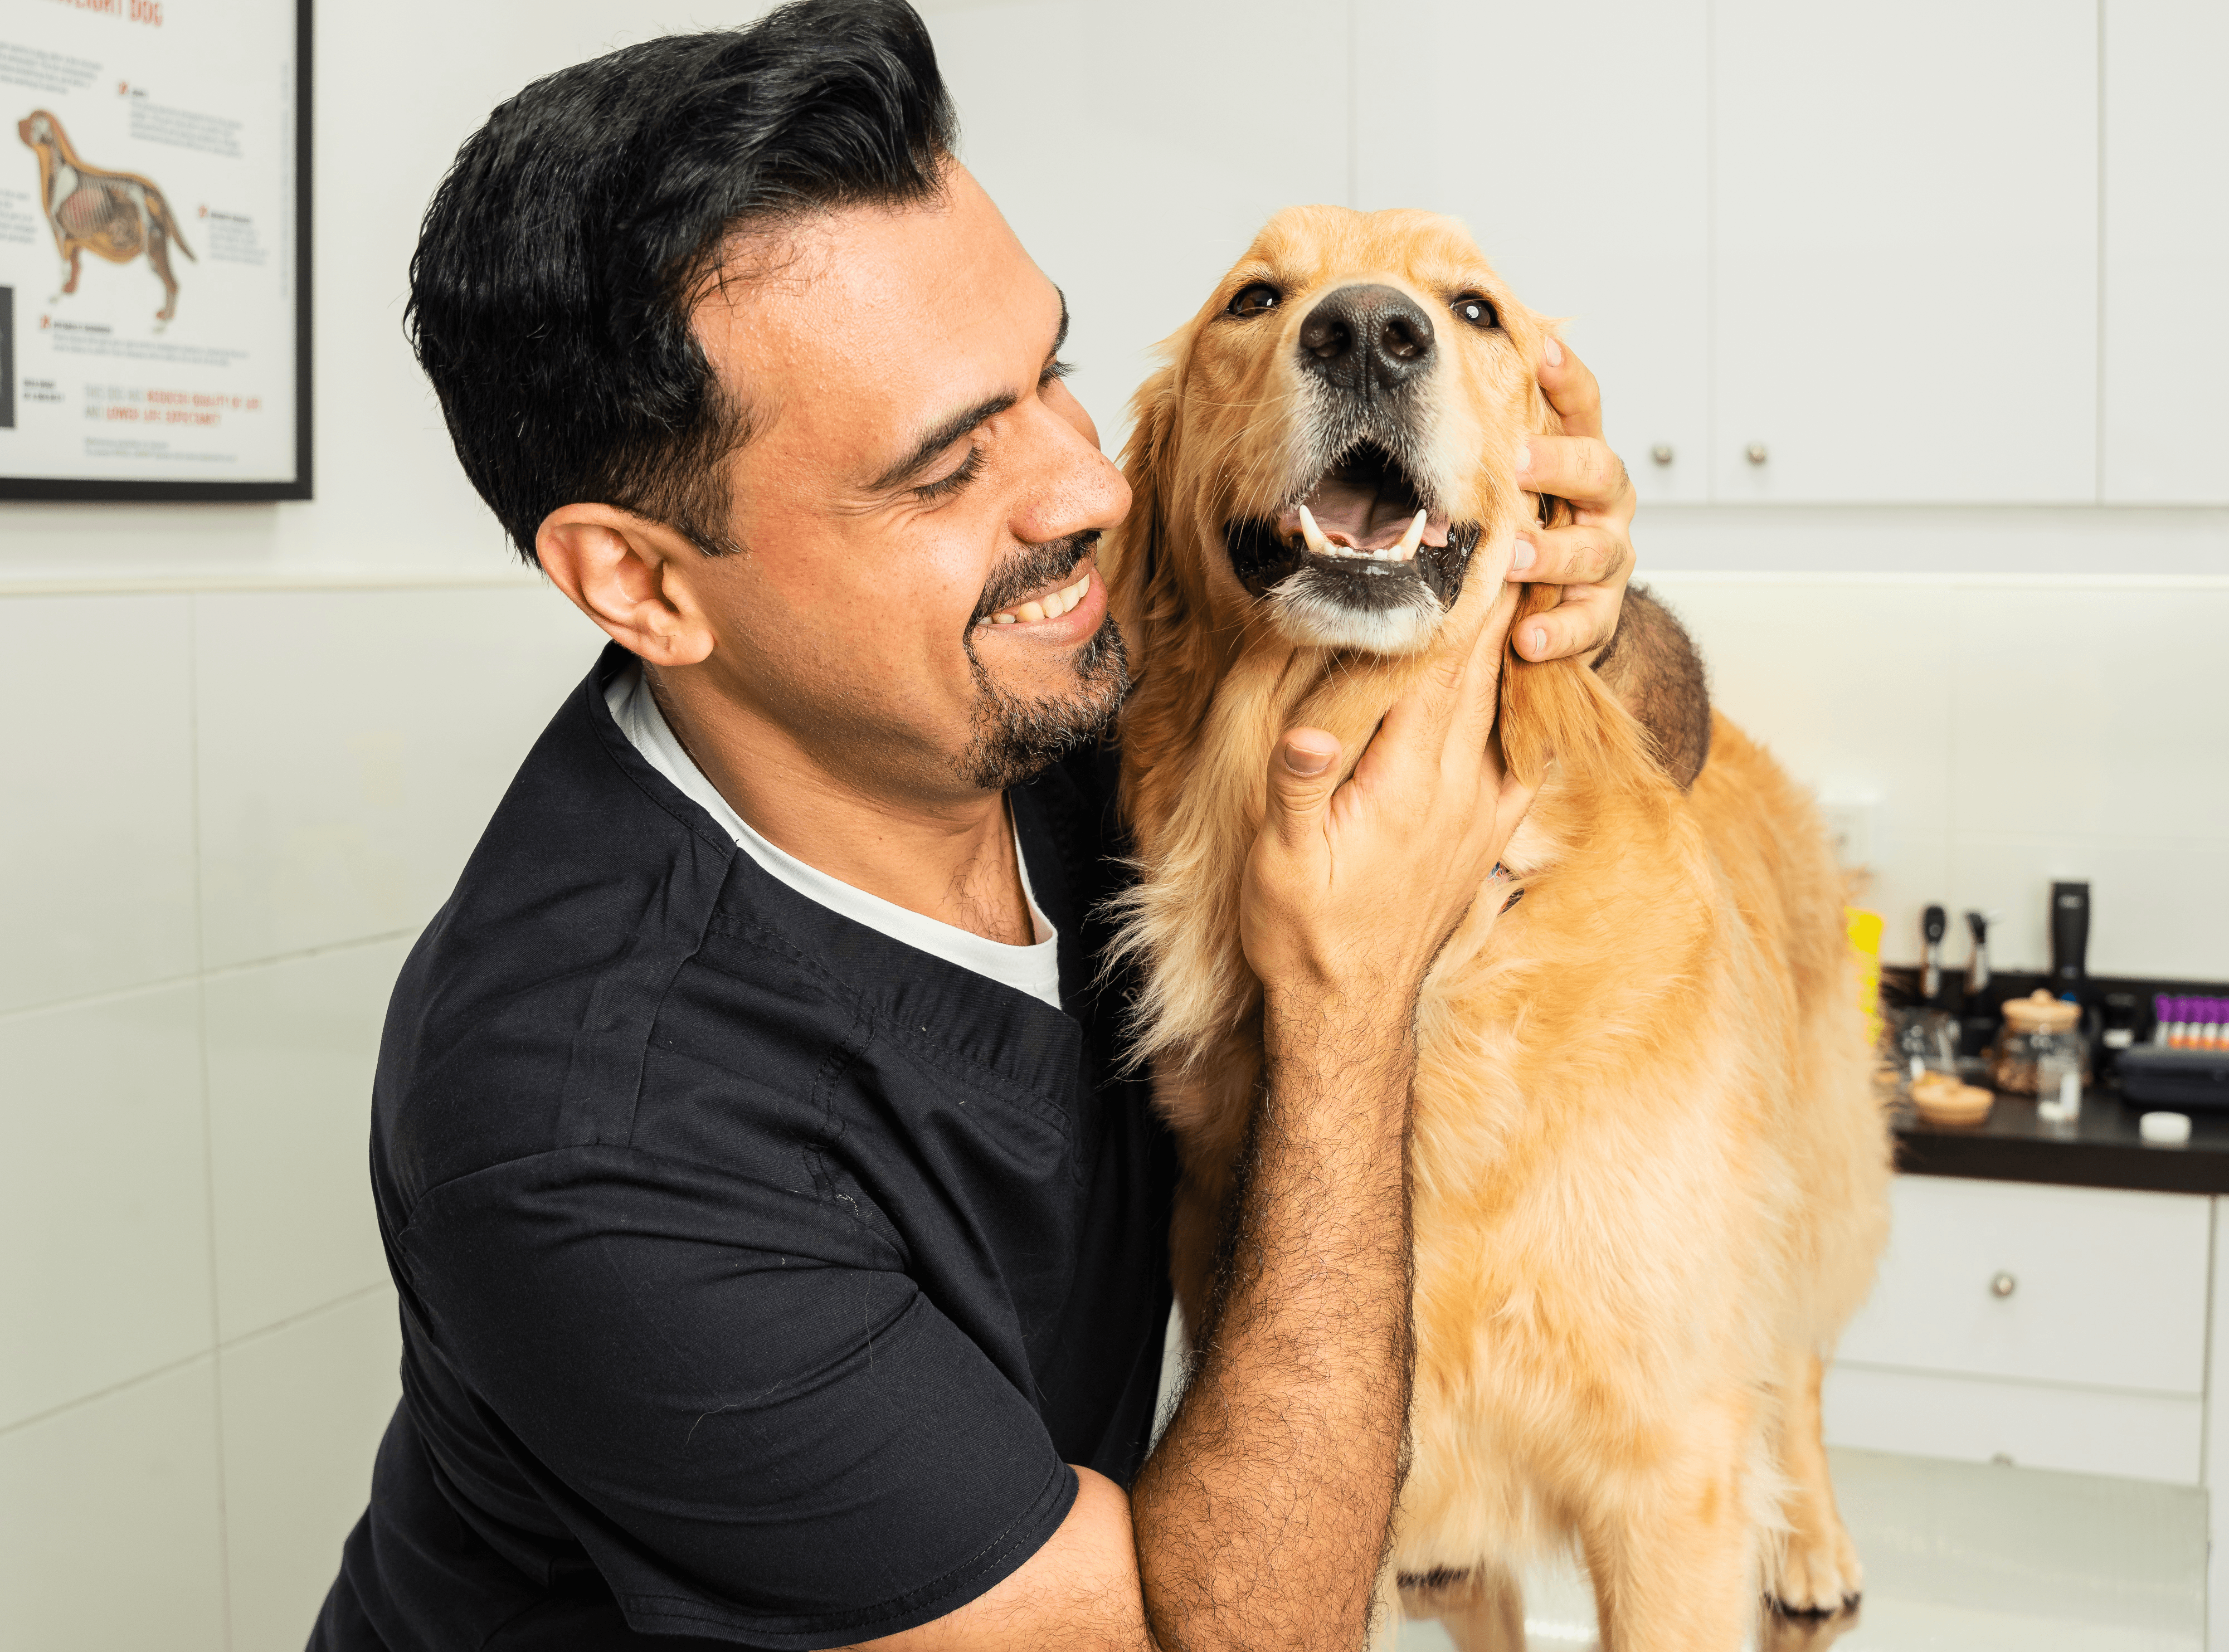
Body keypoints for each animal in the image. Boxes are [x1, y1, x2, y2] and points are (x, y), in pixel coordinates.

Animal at [1106, 206, 1890, 1649]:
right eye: (1254, 299)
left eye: (1475, 312)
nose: (1368, 330)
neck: (1449, 974)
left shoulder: (1667, 1471)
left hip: (1814, 1179)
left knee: (1796, 1364)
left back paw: (1809, 1538)